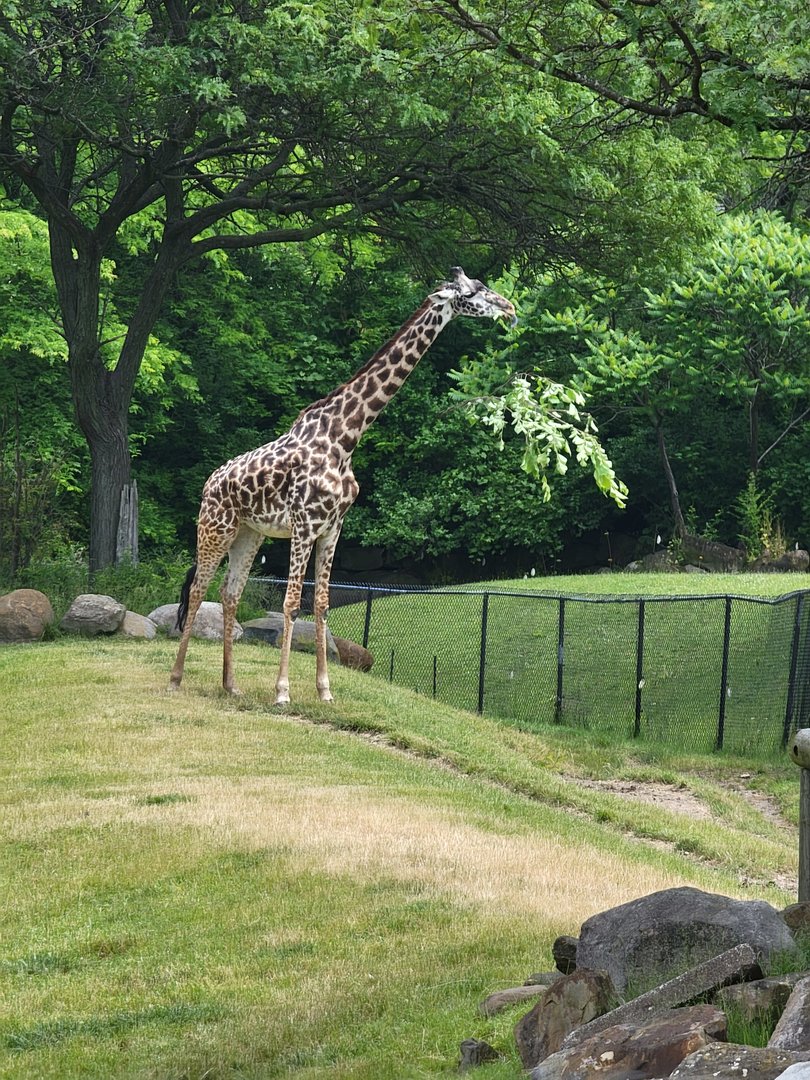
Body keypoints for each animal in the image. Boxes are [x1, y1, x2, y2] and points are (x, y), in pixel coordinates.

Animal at [168, 267, 516, 705]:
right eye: (472, 292)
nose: (511, 309)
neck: (345, 437)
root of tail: (209, 483)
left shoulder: (333, 527)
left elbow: (320, 603)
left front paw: (324, 690)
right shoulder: (304, 524)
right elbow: (291, 603)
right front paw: (283, 692)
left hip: (250, 534)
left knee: (230, 595)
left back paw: (231, 685)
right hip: (216, 527)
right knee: (199, 590)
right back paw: (175, 678)